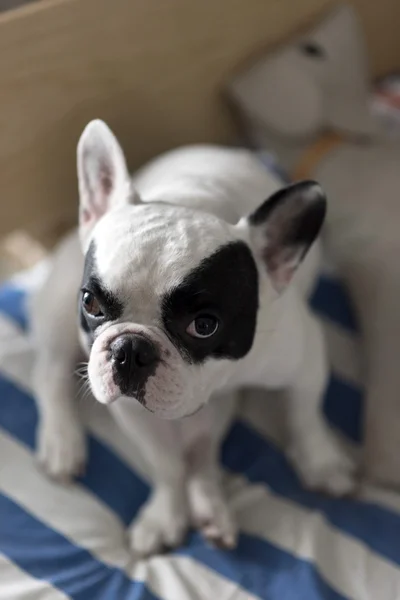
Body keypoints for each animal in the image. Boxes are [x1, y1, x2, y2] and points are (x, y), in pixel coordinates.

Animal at [32, 119, 354, 556]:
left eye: (204, 325)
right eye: (91, 303)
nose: (129, 348)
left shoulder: (303, 361)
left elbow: (306, 415)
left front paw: (322, 463)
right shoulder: (133, 410)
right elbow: (165, 464)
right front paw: (165, 515)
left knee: (203, 451)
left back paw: (211, 507)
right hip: (59, 311)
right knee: (49, 374)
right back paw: (61, 443)